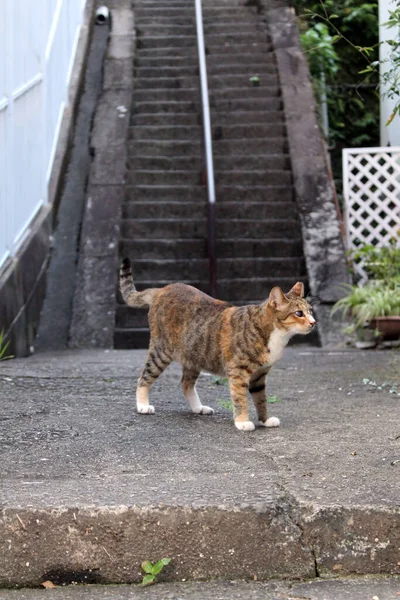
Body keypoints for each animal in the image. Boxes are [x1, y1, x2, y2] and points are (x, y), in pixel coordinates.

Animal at [119, 258, 316, 432]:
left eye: (310, 311)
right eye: (298, 313)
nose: (314, 322)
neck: (274, 335)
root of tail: (162, 289)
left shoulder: (259, 376)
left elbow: (261, 400)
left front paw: (265, 420)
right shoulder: (238, 372)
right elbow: (240, 399)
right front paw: (242, 422)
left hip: (194, 355)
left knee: (185, 383)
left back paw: (198, 407)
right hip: (162, 352)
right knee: (144, 377)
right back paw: (143, 405)